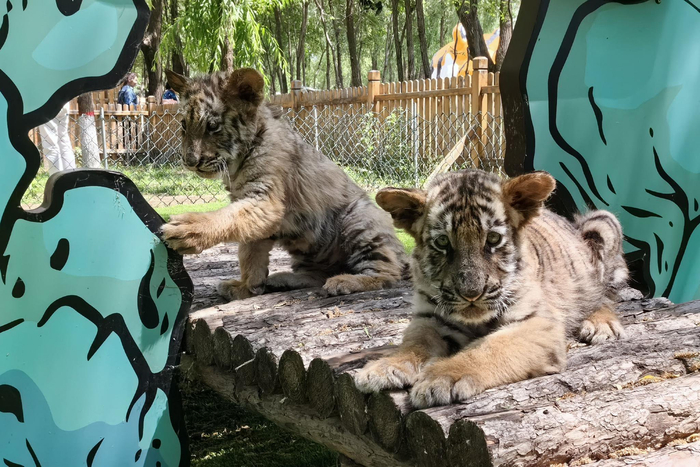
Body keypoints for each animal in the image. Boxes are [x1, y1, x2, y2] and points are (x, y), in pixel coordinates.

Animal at [161, 68, 407, 300]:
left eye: (212, 126)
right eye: (183, 125)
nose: (189, 161)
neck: (236, 163)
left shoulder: (264, 201)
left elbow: (228, 219)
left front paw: (187, 228)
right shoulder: (252, 204)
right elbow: (250, 253)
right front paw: (246, 287)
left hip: (360, 220)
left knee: (388, 273)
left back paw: (345, 281)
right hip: (308, 249)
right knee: (318, 274)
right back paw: (282, 280)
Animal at [355, 169, 629, 408]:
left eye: (494, 239)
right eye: (442, 242)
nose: (471, 294)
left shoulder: (537, 323)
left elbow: (488, 347)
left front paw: (440, 377)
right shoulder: (429, 317)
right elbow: (415, 343)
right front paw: (384, 367)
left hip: (603, 223)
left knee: (606, 296)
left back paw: (601, 325)